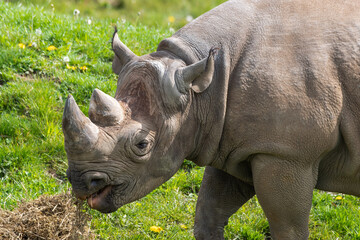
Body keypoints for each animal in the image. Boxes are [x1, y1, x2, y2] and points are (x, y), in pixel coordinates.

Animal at [62, 0, 360, 239]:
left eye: (142, 145)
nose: (81, 183)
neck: (202, 90)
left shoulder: (287, 154)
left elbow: (287, 229)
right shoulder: (233, 143)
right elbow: (208, 213)